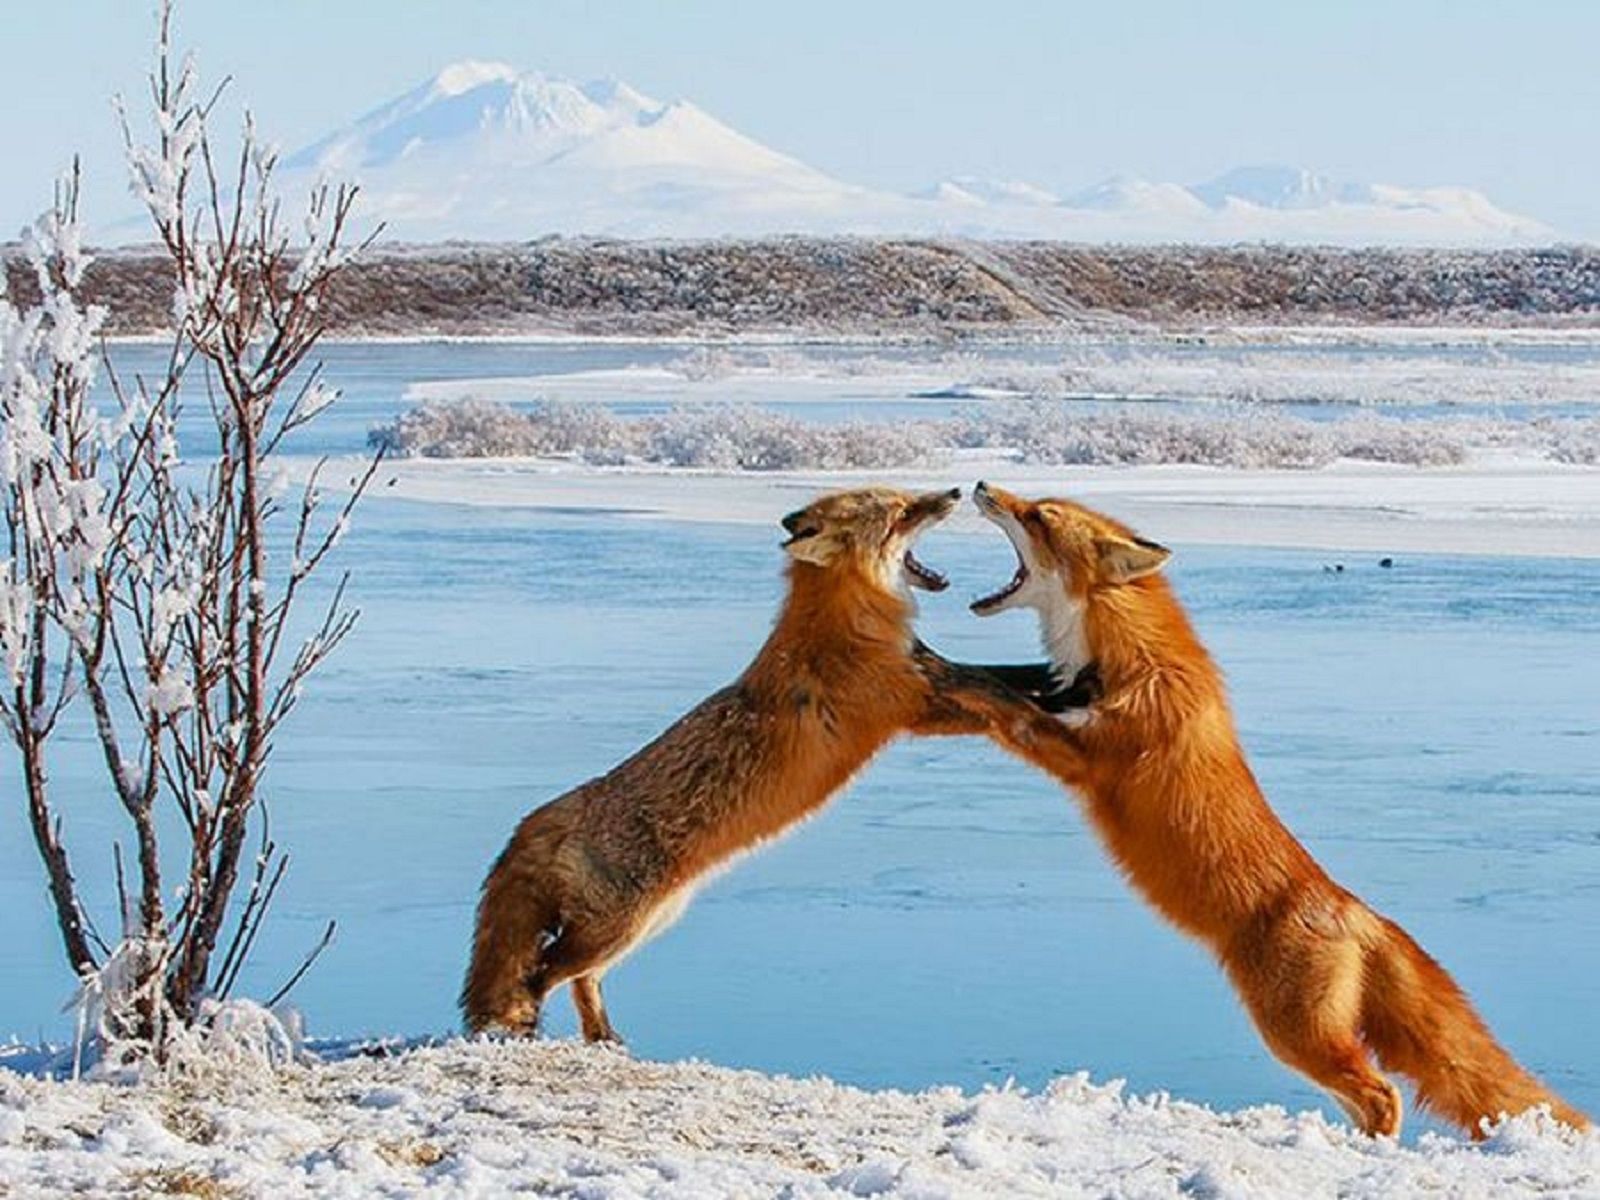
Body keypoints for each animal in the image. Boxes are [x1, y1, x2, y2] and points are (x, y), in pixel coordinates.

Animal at [960, 483, 1587, 1139]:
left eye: (1038, 517)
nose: (982, 486)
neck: (1126, 660)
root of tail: (1357, 912)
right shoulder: (1063, 707)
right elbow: (1010, 683)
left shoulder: (1088, 756)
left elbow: (1005, 705)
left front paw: (950, 683)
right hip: (1305, 1038)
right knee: (1365, 1097)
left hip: (1293, 1033)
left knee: (1383, 1093)